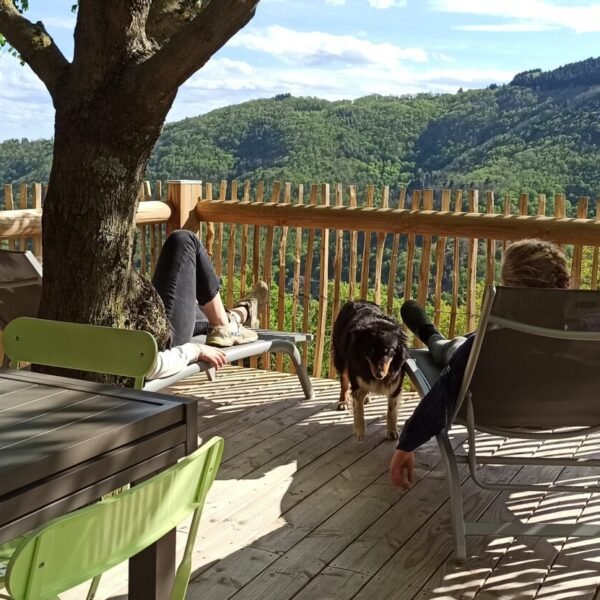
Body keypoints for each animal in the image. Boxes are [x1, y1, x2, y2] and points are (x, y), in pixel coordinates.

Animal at [330, 300, 410, 440]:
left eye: (389, 351)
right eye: (370, 351)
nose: (379, 375)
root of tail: (355, 301)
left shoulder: (396, 382)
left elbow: (391, 409)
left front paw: (392, 431)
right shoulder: (357, 378)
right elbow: (358, 408)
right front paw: (360, 432)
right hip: (340, 359)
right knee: (344, 382)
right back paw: (343, 402)